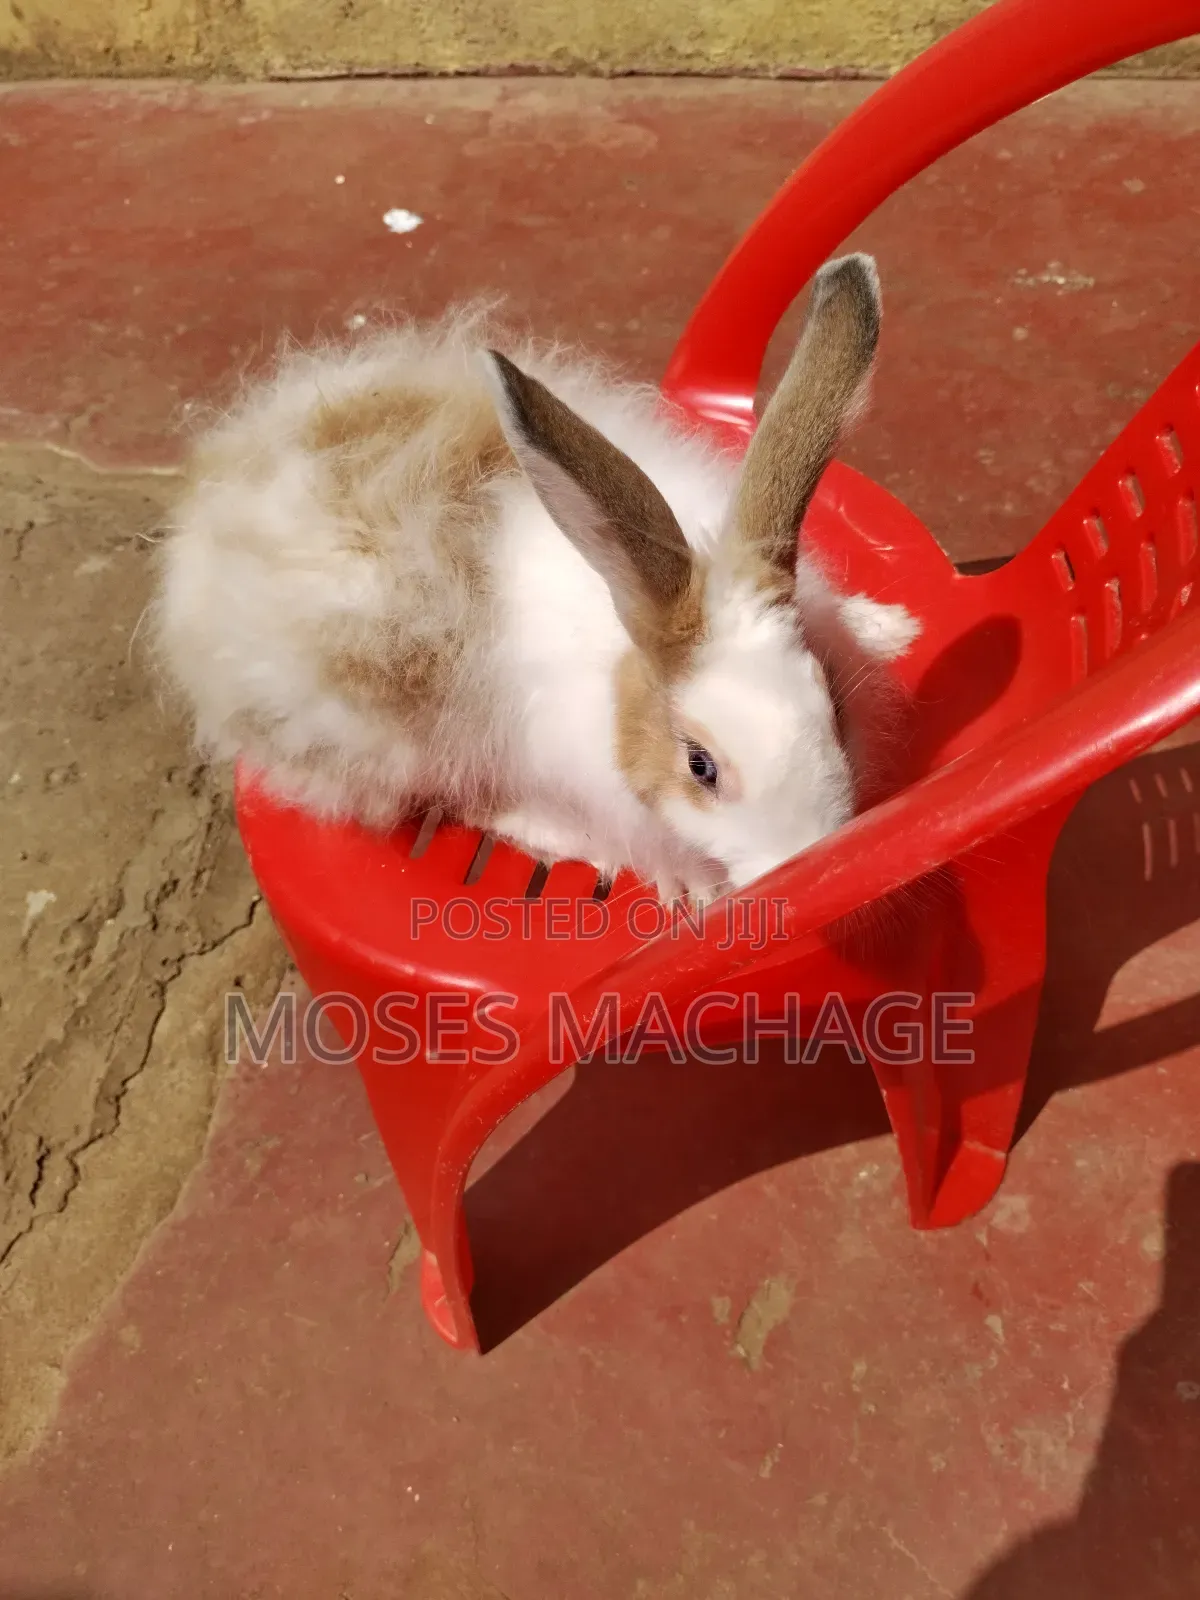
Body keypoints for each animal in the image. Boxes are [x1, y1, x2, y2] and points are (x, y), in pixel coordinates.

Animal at [152, 252, 920, 909]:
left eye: (832, 708)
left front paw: (888, 628)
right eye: (700, 765)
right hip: (393, 742)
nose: (805, 857)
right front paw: (690, 887)